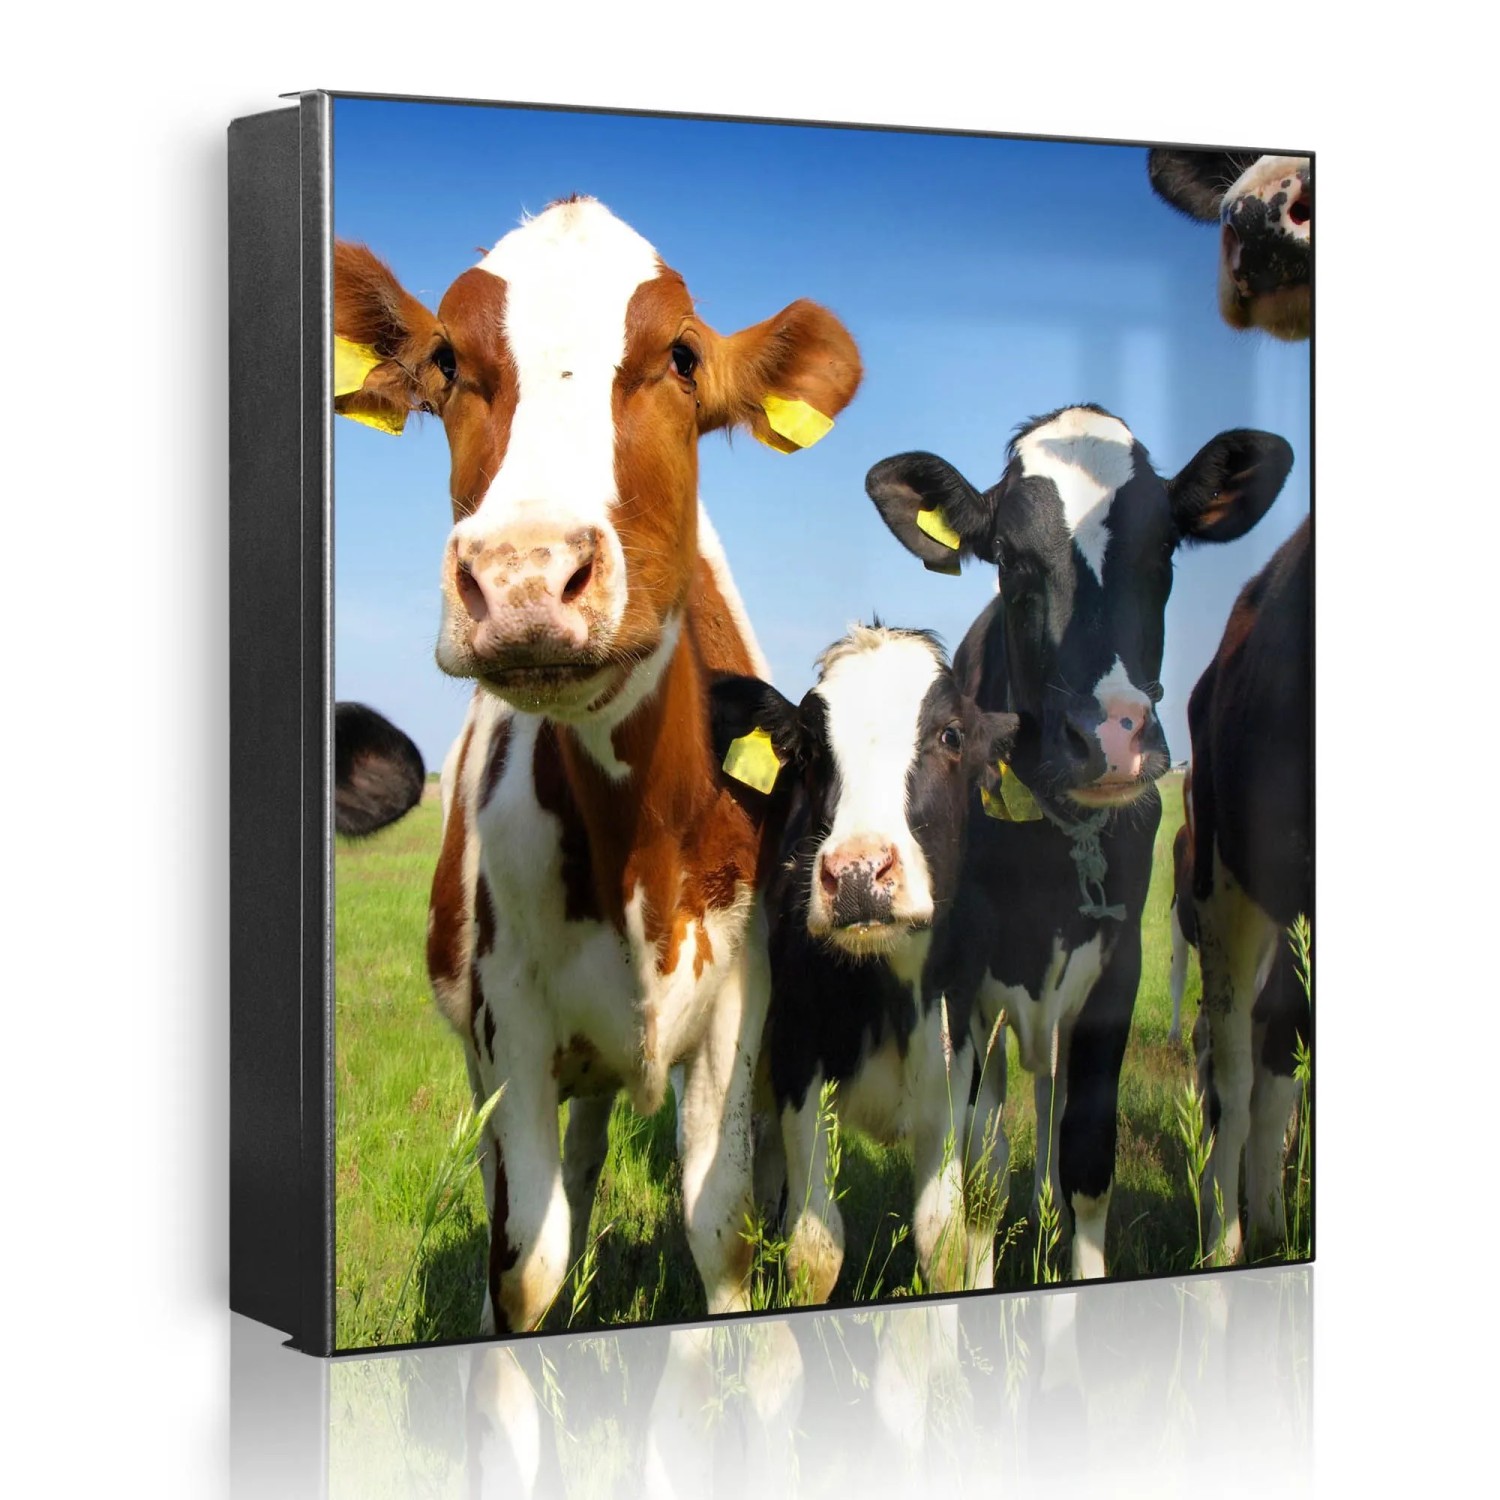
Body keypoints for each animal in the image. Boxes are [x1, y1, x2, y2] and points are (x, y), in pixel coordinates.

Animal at [710, 625, 1019, 1300]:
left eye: (951, 735)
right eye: (807, 750)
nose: (856, 874)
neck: (887, 991)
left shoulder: (954, 1070)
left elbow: (945, 1242)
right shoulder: (798, 1063)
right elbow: (814, 1247)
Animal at [866, 404, 1293, 1277]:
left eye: (1162, 551)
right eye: (1011, 561)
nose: (1111, 735)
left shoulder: (1116, 972)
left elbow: (1089, 1157)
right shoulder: (963, 973)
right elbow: (972, 1175)